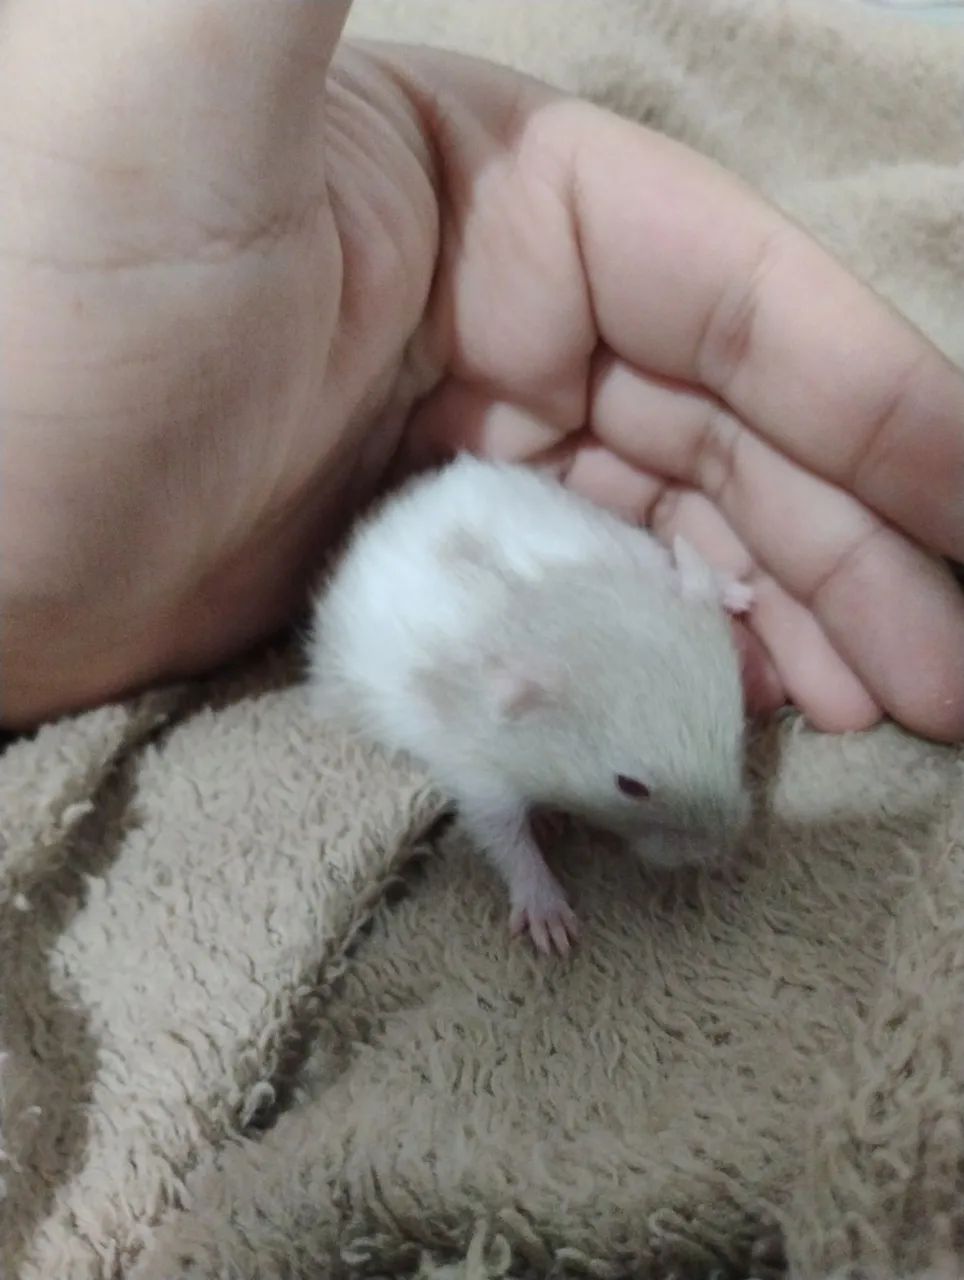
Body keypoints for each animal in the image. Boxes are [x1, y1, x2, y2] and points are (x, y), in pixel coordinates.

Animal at [306, 454, 753, 956]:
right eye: (629, 786)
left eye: (739, 736)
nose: (721, 851)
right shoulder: (477, 772)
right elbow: (504, 837)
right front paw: (551, 927)